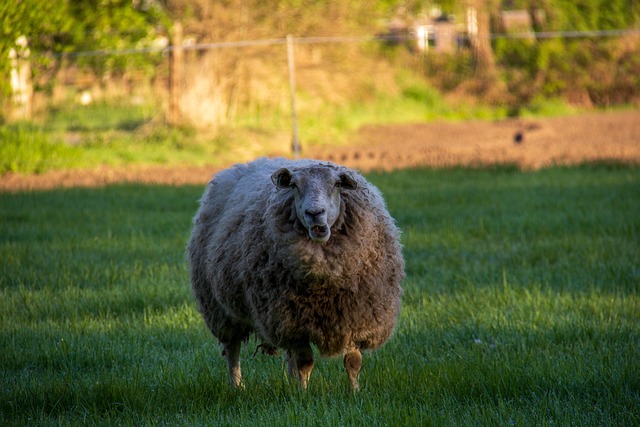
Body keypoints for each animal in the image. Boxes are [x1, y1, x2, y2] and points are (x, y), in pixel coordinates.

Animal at [186, 157, 404, 392]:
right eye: (294, 186)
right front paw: (303, 394)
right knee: (232, 350)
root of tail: (246, 164)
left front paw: (354, 392)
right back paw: (237, 386)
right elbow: (305, 362)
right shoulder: (294, 323)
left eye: (337, 184)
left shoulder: (355, 316)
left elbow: (352, 362)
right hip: (220, 310)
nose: (314, 213)